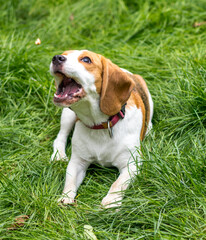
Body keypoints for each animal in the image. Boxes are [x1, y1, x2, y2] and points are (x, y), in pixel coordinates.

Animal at [50, 49, 153, 208]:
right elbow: (70, 181)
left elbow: (118, 183)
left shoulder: (132, 163)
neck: (101, 125)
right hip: (67, 114)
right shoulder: (77, 161)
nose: (56, 58)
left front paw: (111, 201)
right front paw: (65, 198)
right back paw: (59, 155)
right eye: (64, 53)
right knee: (60, 136)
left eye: (86, 59)